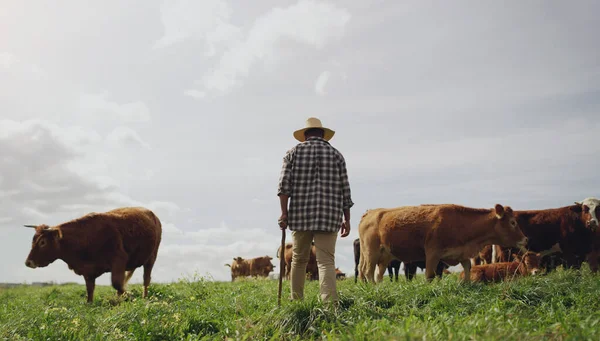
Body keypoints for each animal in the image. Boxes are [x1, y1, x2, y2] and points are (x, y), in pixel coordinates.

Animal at [24, 206, 162, 302]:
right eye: (33, 240)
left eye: (43, 242)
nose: (28, 262)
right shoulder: (88, 271)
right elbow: (90, 290)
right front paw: (90, 305)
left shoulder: (118, 260)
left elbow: (117, 283)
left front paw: (130, 296)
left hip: (151, 258)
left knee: (146, 279)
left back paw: (144, 297)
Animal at [358, 203, 528, 282]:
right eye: (513, 222)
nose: (525, 239)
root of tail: (370, 213)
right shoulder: (432, 253)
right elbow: (429, 275)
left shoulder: (461, 252)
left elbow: (467, 268)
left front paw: (467, 284)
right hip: (371, 253)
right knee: (367, 272)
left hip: (384, 257)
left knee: (378, 274)